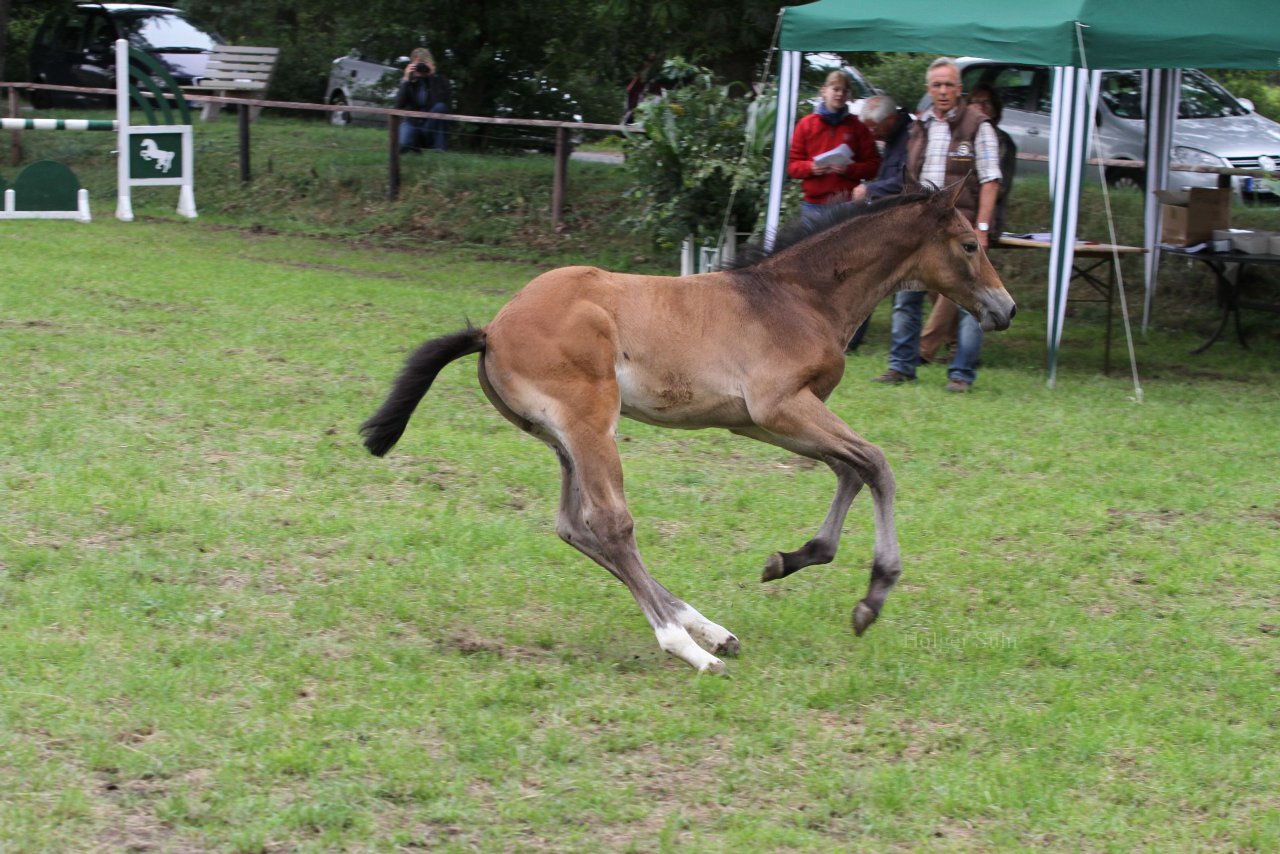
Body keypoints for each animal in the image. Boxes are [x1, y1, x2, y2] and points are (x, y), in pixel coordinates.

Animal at [366, 186, 1013, 676]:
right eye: (970, 244)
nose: (1004, 310)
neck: (796, 297)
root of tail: (492, 329)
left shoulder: (761, 421)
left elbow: (848, 470)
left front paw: (794, 558)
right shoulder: (781, 407)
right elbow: (876, 463)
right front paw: (872, 596)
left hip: (562, 439)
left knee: (574, 526)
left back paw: (707, 628)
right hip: (591, 425)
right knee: (611, 525)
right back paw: (688, 647)